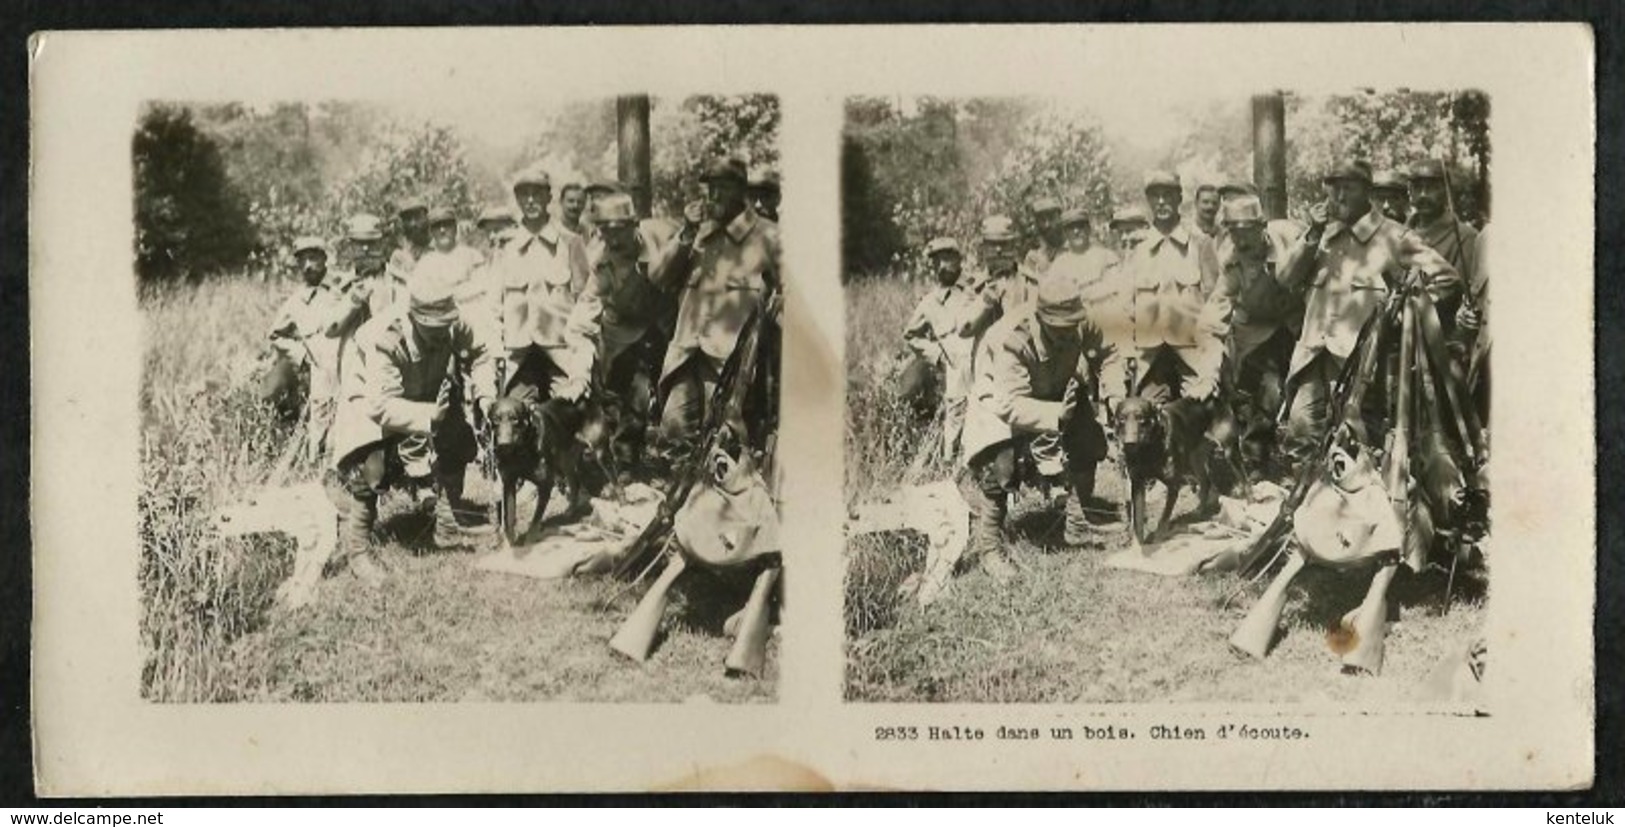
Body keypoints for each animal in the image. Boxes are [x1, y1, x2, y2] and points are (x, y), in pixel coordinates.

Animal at [484, 393, 617, 542]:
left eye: (515, 419)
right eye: (495, 419)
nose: (504, 445)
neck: (521, 451)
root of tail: (587, 399)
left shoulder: (545, 484)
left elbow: (535, 521)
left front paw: (529, 539)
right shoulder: (509, 482)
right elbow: (509, 515)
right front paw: (510, 541)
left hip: (600, 453)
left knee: (616, 482)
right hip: (565, 461)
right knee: (574, 483)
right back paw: (569, 512)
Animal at [1118, 393, 1241, 542]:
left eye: (1141, 418)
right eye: (1121, 419)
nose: (1129, 444)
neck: (1149, 449)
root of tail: (1215, 397)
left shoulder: (1173, 485)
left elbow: (1164, 518)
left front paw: (1158, 537)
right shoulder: (1137, 483)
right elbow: (1138, 519)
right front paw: (1138, 543)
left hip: (1229, 449)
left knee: (1245, 480)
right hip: (1195, 458)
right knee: (1205, 482)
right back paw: (1198, 512)